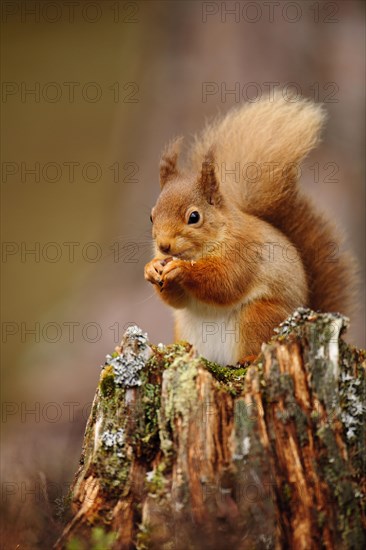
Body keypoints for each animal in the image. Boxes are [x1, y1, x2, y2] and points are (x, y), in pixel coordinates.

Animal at [144, 95, 356, 366]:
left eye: (194, 217)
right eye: (151, 216)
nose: (163, 246)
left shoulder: (244, 253)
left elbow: (224, 283)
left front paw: (182, 270)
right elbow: (177, 301)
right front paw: (151, 268)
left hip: (258, 316)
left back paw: (249, 358)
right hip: (185, 326)